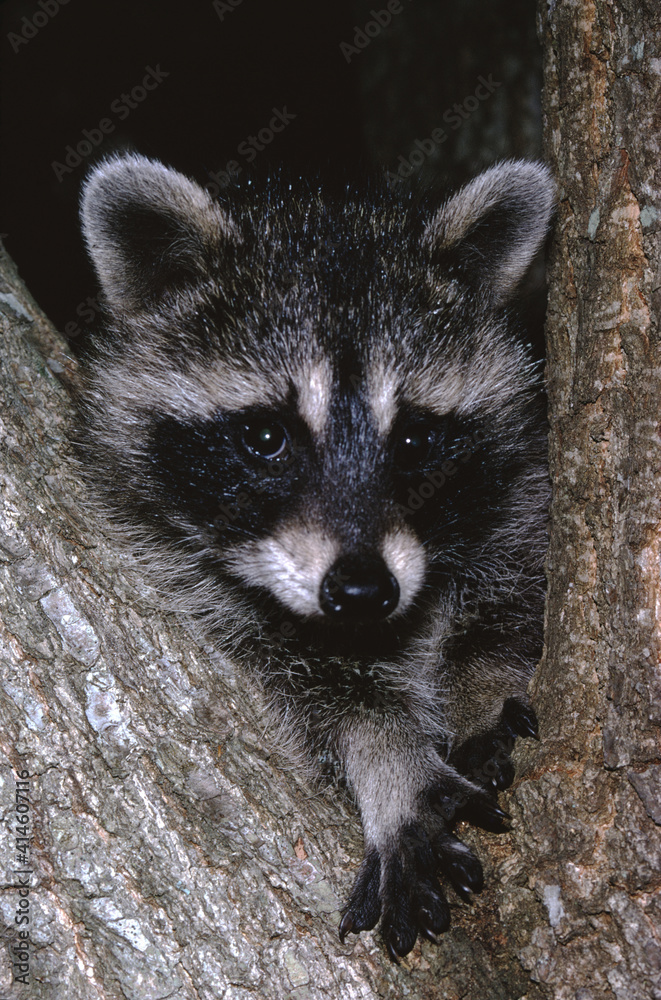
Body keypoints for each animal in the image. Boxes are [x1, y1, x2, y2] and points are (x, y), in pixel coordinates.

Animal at [78, 153, 554, 961]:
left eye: (414, 438)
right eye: (265, 436)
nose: (362, 591)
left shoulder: (519, 486)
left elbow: (513, 590)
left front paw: (483, 679)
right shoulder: (190, 571)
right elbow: (328, 695)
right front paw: (393, 767)